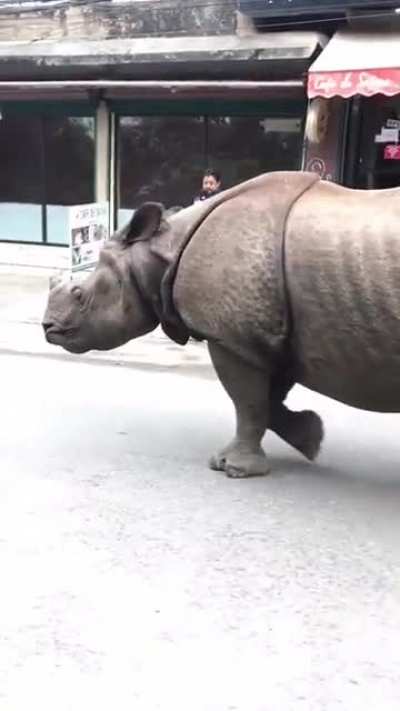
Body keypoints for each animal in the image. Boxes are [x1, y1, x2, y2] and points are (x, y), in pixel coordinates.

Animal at [43, 171, 400, 477]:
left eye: (79, 294)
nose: (48, 328)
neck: (160, 252)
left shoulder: (231, 337)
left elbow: (248, 401)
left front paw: (231, 468)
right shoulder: (272, 335)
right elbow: (267, 402)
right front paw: (311, 438)